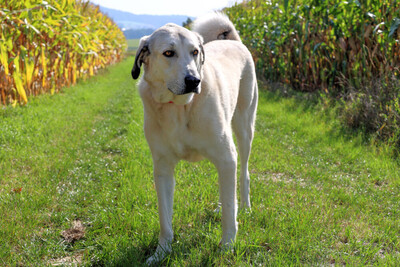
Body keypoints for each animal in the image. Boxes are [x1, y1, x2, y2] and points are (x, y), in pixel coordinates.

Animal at [130, 12, 258, 264]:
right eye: (168, 53)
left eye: (195, 52)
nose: (194, 80)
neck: (178, 108)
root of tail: (234, 42)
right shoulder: (163, 169)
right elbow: (165, 219)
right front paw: (161, 253)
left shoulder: (227, 156)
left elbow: (229, 213)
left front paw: (227, 247)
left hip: (244, 129)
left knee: (243, 175)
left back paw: (245, 208)